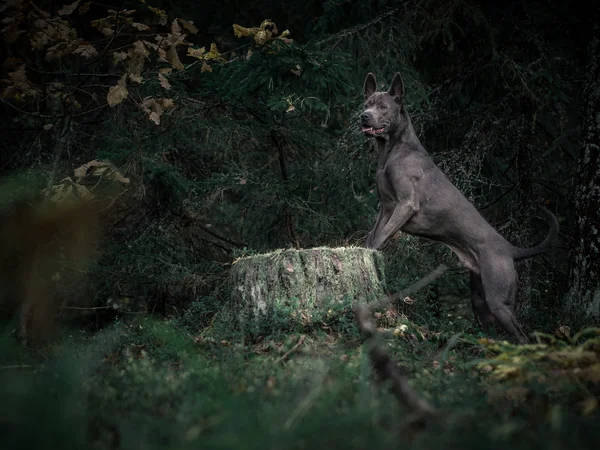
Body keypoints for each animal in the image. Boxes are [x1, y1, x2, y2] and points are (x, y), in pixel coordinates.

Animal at [364, 72, 560, 342]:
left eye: (383, 107)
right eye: (366, 103)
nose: (364, 116)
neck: (392, 149)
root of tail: (511, 250)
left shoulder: (405, 204)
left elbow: (380, 237)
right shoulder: (385, 206)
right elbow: (373, 235)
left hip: (499, 299)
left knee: (521, 336)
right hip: (480, 301)